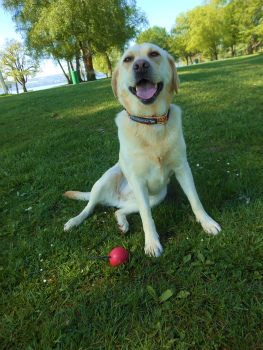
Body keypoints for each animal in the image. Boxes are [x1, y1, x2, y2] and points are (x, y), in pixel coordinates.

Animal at [63, 43, 221, 258]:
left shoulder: (182, 169)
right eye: (128, 59)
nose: (140, 66)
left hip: (157, 196)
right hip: (106, 180)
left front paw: (207, 223)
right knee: (89, 207)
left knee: (118, 211)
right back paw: (74, 221)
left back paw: (122, 224)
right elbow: (147, 217)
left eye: (154, 54)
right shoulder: (138, 181)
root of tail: (116, 199)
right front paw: (152, 243)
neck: (150, 122)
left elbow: (195, 200)